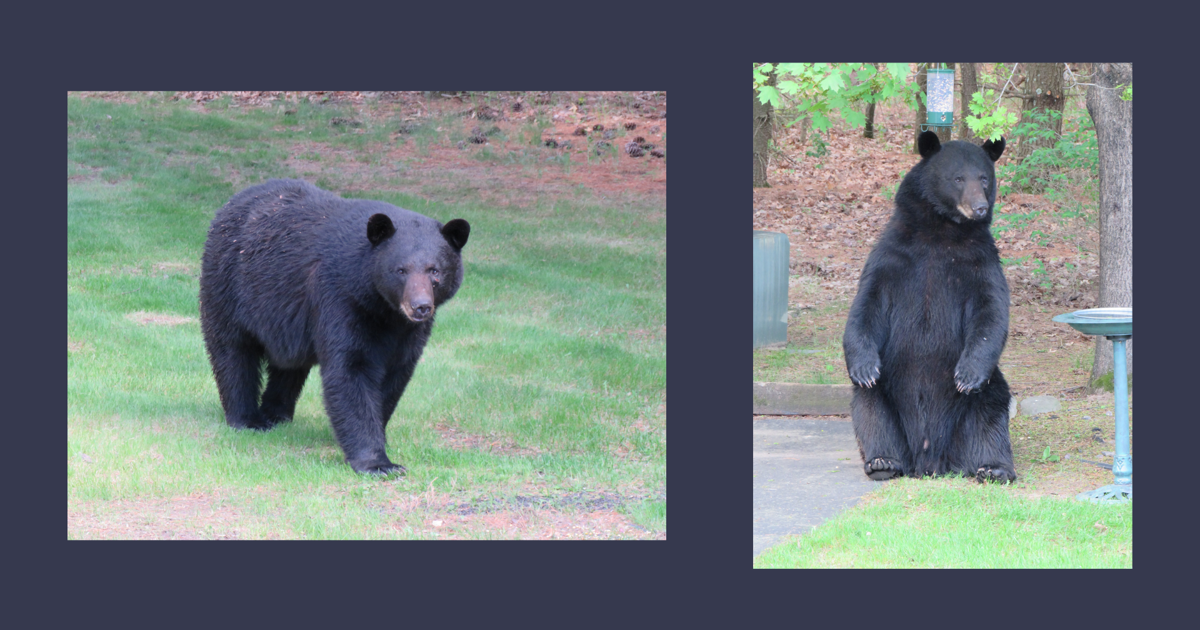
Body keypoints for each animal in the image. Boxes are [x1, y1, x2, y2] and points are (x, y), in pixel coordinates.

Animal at [201, 178, 468, 475]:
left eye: (435, 271)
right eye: (400, 270)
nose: (420, 306)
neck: (384, 310)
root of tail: (230, 204)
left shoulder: (408, 332)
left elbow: (396, 373)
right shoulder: (340, 296)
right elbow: (350, 368)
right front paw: (377, 463)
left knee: (289, 365)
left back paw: (277, 414)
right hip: (229, 285)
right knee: (233, 351)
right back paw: (248, 419)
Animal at [844, 129, 1012, 482]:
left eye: (984, 178)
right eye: (958, 178)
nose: (979, 207)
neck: (941, 232)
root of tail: (929, 460)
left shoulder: (980, 261)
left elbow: (990, 310)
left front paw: (967, 375)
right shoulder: (894, 255)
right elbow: (868, 303)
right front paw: (863, 366)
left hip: (985, 394)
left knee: (990, 416)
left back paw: (994, 467)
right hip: (888, 388)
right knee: (870, 408)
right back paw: (883, 462)